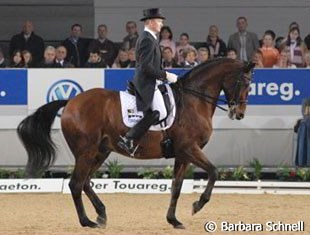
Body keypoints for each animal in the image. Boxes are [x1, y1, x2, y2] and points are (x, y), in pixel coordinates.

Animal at [16, 57, 254, 229]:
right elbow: (213, 171)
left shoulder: (182, 154)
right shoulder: (189, 149)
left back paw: (101, 215)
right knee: (76, 183)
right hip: (86, 151)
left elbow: (176, 187)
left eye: (250, 86)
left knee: (85, 182)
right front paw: (198, 205)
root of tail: (71, 101)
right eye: (244, 83)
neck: (194, 101)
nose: (239, 113)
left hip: (100, 151)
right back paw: (87, 222)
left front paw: (174, 220)